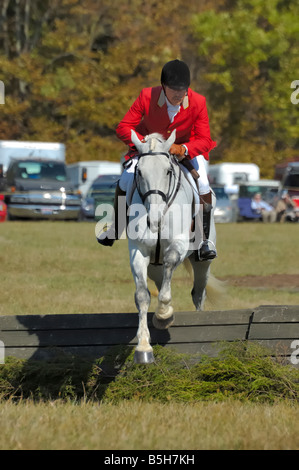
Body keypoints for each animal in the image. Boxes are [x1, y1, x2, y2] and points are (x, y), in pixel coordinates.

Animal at [127, 129, 217, 364]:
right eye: (139, 172)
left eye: (168, 171)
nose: (154, 219)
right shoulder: (139, 252)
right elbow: (142, 296)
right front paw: (143, 347)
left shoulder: (179, 244)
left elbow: (170, 263)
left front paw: (164, 315)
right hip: (153, 267)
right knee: (160, 282)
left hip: (202, 262)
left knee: (198, 292)